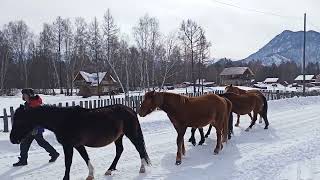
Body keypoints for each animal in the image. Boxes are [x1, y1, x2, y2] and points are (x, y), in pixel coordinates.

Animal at [10, 104, 150, 180]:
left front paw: (65, 178)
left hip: (131, 134)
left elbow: (68, 163)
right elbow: (85, 158)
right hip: (119, 137)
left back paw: (142, 168)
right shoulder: (78, 145)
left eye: (19, 121)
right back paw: (110, 170)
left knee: (139, 148)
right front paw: (91, 175)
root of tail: (130, 110)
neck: (62, 120)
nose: (12, 139)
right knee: (120, 150)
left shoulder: (68, 146)